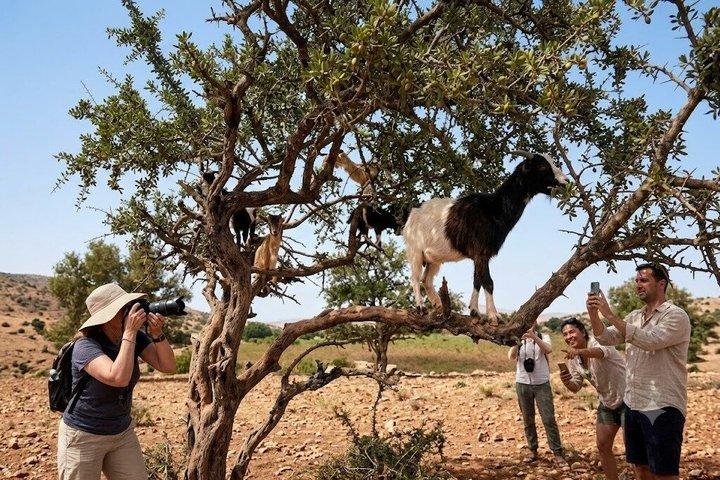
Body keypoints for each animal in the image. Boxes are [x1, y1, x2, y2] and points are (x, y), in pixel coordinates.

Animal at [402, 151, 569, 322]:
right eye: (542, 166)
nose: (566, 181)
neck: (493, 208)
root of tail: (412, 215)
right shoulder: (481, 252)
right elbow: (488, 282)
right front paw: (493, 315)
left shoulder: (480, 256)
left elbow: (477, 281)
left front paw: (475, 311)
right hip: (415, 250)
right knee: (415, 277)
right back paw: (421, 307)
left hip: (433, 258)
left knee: (426, 279)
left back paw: (438, 305)